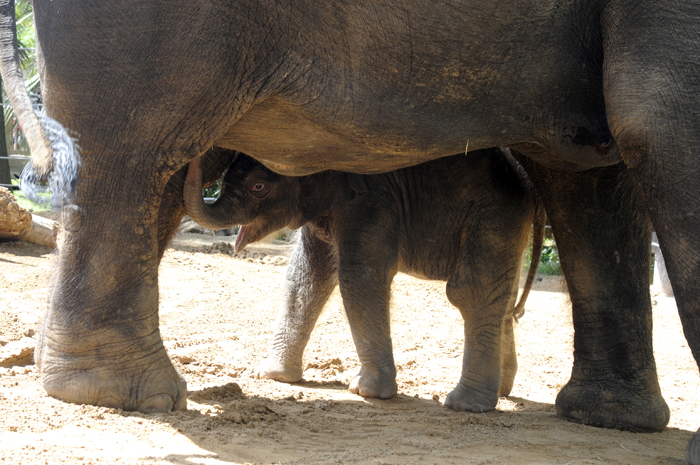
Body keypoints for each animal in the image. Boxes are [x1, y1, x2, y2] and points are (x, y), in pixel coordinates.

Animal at [184, 148, 545, 410]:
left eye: (258, 187)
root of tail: (530, 184)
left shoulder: (372, 203)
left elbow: (359, 275)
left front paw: (366, 391)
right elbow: (307, 275)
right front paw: (273, 376)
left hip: (493, 214)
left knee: (471, 290)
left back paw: (465, 405)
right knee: (503, 296)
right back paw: (501, 390)